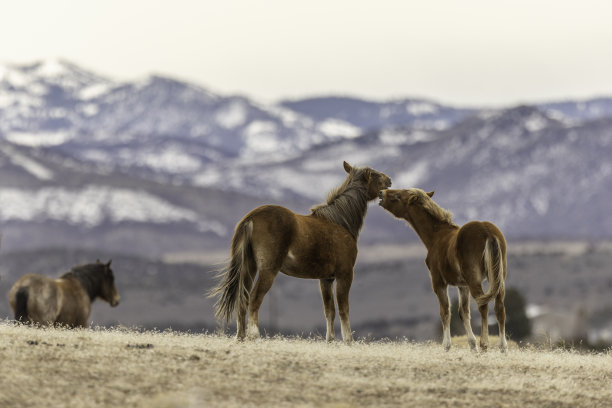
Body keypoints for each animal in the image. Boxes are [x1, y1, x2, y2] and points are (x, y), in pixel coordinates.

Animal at [210, 161, 392, 342]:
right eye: (375, 174)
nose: (389, 181)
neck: (340, 222)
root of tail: (251, 218)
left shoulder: (326, 279)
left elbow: (329, 310)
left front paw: (330, 339)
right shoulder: (345, 274)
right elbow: (343, 309)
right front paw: (348, 340)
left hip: (249, 267)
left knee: (243, 298)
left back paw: (241, 336)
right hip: (268, 270)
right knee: (254, 298)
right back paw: (254, 335)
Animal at [380, 188, 510, 350]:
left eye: (398, 196)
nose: (381, 193)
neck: (436, 236)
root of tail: (488, 233)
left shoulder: (438, 282)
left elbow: (445, 311)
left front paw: (446, 346)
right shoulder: (463, 285)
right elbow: (463, 312)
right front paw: (472, 346)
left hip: (475, 279)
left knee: (483, 305)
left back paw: (485, 343)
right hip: (499, 278)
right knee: (500, 307)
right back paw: (503, 347)